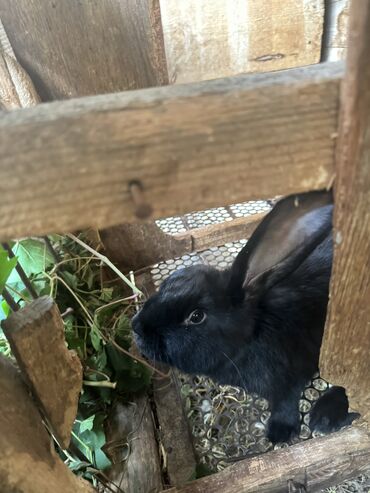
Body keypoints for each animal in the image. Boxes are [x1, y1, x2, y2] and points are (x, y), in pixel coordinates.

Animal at [133, 189, 356, 442]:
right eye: (170, 281)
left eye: (196, 316)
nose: (136, 328)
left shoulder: (291, 377)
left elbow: (286, 402)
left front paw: (279, 432)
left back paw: (326, 415)